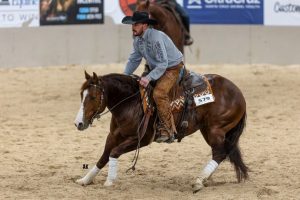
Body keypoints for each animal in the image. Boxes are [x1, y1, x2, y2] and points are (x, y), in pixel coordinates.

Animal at [73, 71, 248, 193]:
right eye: (81, 94)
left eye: (93, 97)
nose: (78, 123)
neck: (130, 102)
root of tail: (238, 92)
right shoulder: (113, 136)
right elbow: (104, 157)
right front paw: (85, 180)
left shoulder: (142, 139)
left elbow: (114, 153)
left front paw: (110, 180)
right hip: (207, 129)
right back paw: (205, 179)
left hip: (215, 129)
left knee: (220, 154)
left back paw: (199, 181)